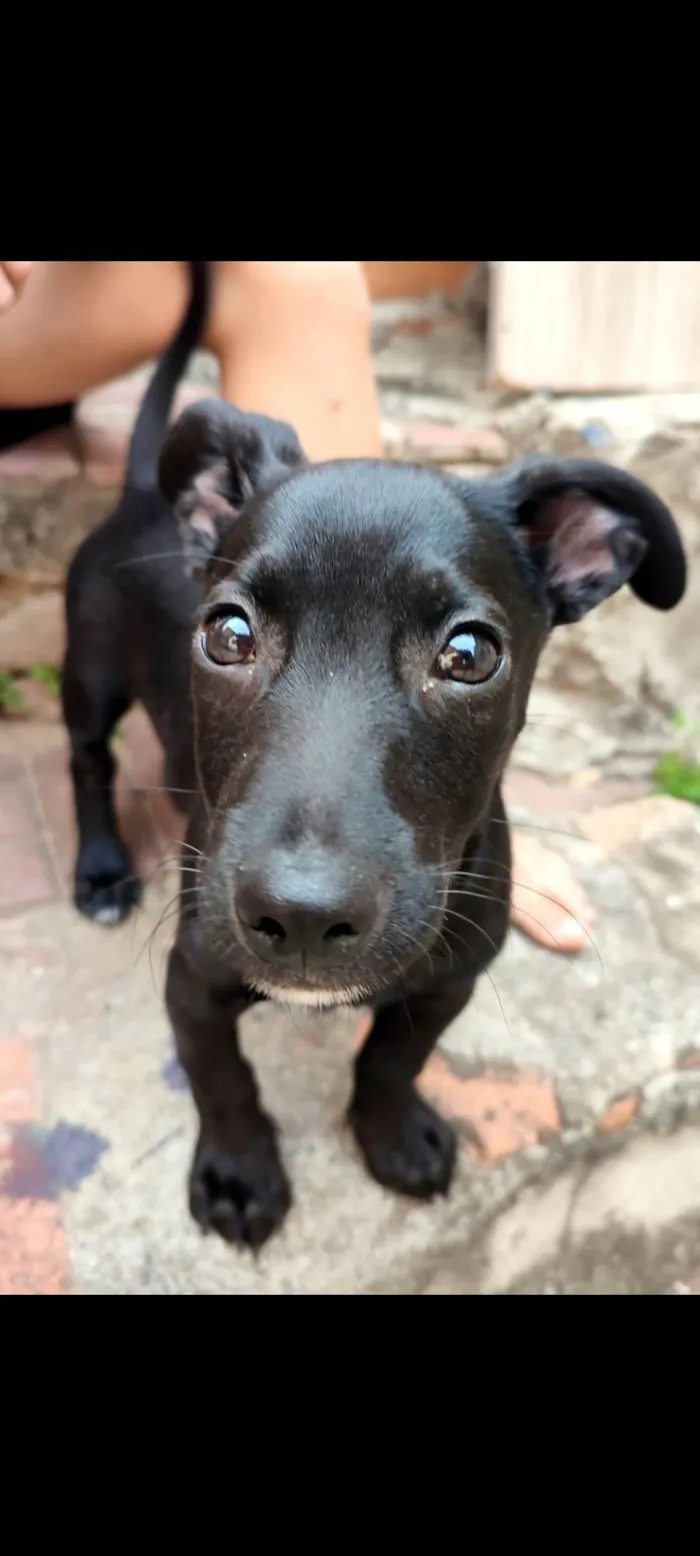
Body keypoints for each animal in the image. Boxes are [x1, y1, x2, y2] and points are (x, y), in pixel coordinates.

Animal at [63, 273, 687, 1251]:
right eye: (227, 634)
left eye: (469, 655)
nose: (302, 916)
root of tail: (137, 494)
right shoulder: (195, 975)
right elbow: (221, 1079)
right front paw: (239, 1172)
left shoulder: (451, 977)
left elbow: (395, 1058)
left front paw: (392, 1135)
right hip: (88, 674)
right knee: (86, 762)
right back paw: (99, 869)